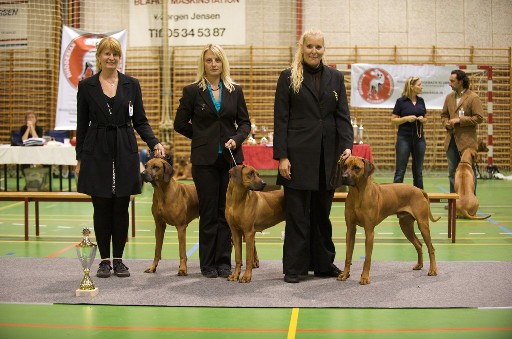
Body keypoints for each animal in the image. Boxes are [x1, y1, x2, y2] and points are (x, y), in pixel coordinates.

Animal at [334, 156, 438, 284]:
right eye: (344, 166)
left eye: (356, 168)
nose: (344, 177)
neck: (357, 194)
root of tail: (420, 190)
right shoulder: (350, 230)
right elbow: (348, 256)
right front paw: (344, 274)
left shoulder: (369, 231)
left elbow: (367, 258)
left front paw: (365, 277)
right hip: (405, 226)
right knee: (419, 244)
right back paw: (419, 265)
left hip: (422, 224)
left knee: (431, 248)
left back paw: (433, 270)